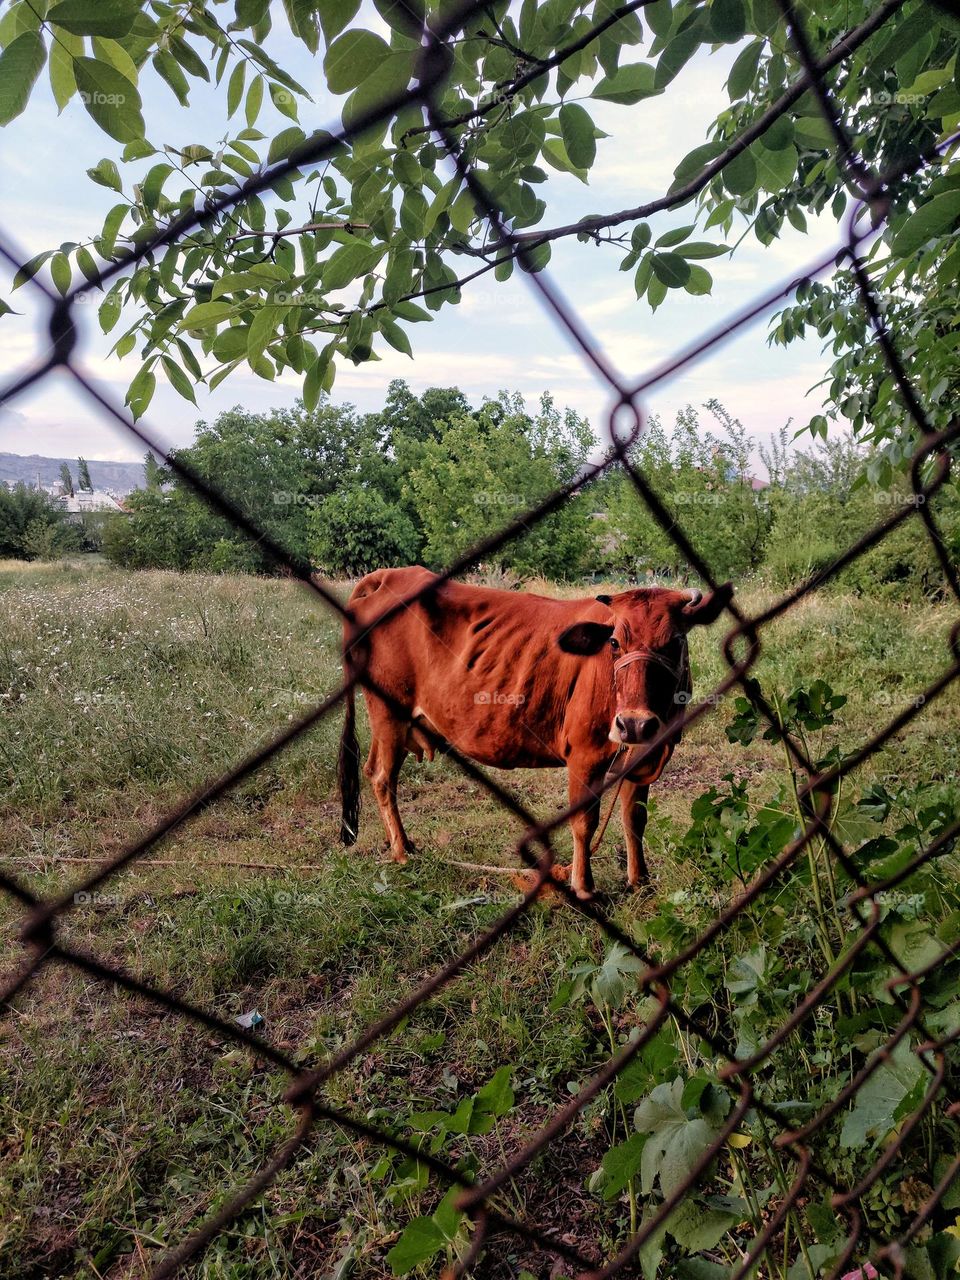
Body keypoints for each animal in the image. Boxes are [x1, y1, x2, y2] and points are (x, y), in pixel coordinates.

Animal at [338, 566, 732, 899]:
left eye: (676, 642)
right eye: (614, 642)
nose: (634, 723)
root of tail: (387, 575)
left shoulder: (643, 755)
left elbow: (635, 818)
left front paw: (640, 881)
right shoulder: (585, 756)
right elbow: (584, 822)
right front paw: (583, 886)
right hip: (388, 712)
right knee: (382, 777)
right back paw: (401, 851)